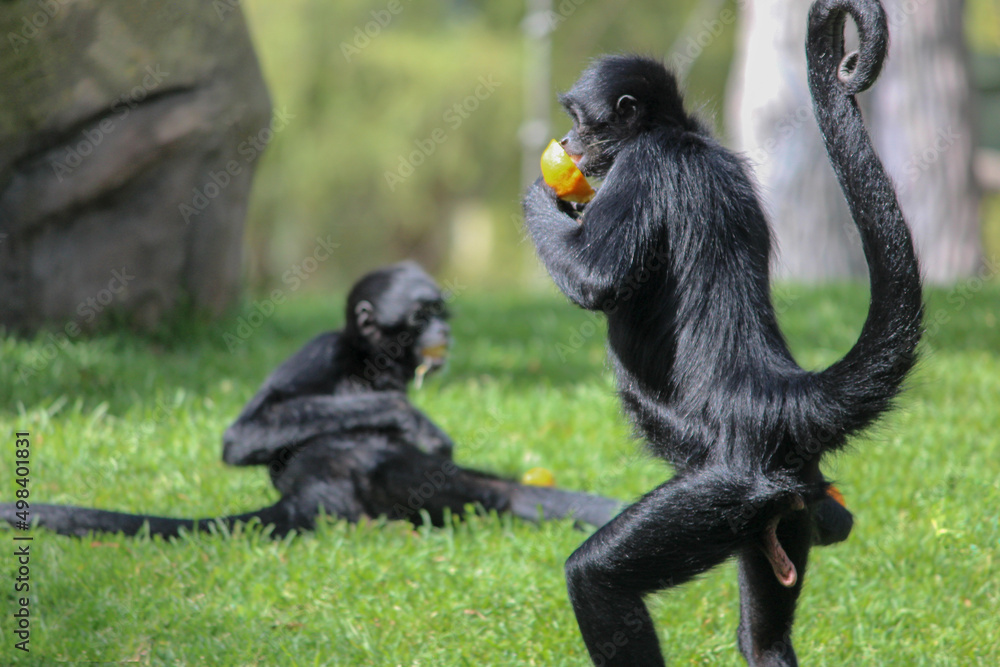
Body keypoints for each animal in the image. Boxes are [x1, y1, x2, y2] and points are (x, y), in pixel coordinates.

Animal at [1, 262, 621, 538]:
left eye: (441, 313)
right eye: (423, 315)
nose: (443, 330)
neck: (367, 363)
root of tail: (313, 492)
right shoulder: (324, 348)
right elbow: (240, 438)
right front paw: (412, 419)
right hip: (375, 475)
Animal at [521, 1, 922, 664]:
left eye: (580, 122)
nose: (570, 144)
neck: (684, 134)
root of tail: (770, 388)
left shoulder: (646, 162)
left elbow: (596, 282)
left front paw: (541, 194)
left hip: (735, 488)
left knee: (597, 577)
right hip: (779, 500)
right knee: (764, 639)